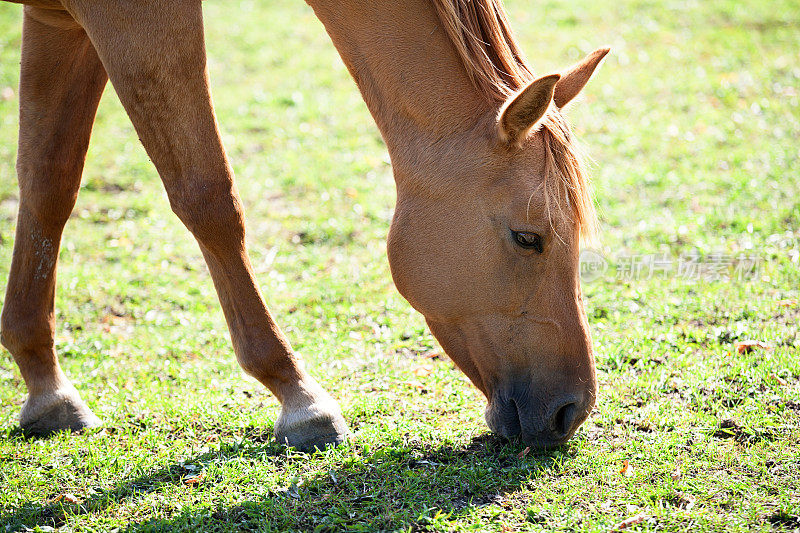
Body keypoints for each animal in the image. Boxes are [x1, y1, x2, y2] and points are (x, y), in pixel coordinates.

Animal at [1, 0, 608, 448]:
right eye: (528, 237)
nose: (571, 411)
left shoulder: (59, 17)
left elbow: (47, 186)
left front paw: (46, 389)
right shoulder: (134, 18)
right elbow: (208, 199)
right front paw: (299, 398)